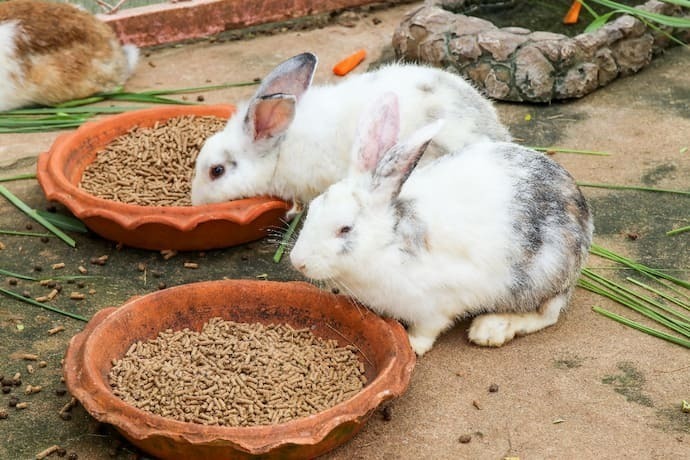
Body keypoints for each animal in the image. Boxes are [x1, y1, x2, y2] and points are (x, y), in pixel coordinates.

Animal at [290, 92, 592, 356]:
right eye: (313, 208)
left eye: (345, 229)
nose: (297, 262)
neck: (387, 244)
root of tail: (582, 214)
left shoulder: (436, 304)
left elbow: (428, 329)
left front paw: (412, 346)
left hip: (541, 274)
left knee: (548, 313)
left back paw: (490, 329)